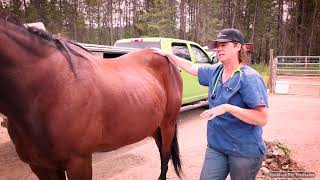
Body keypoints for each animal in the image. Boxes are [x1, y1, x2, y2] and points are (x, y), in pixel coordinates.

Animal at [0, 14, 182, 179]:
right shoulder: (41, 167)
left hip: (168, 124)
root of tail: (165, 58)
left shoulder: (79, 162)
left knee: (165, 156)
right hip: (155, 126)